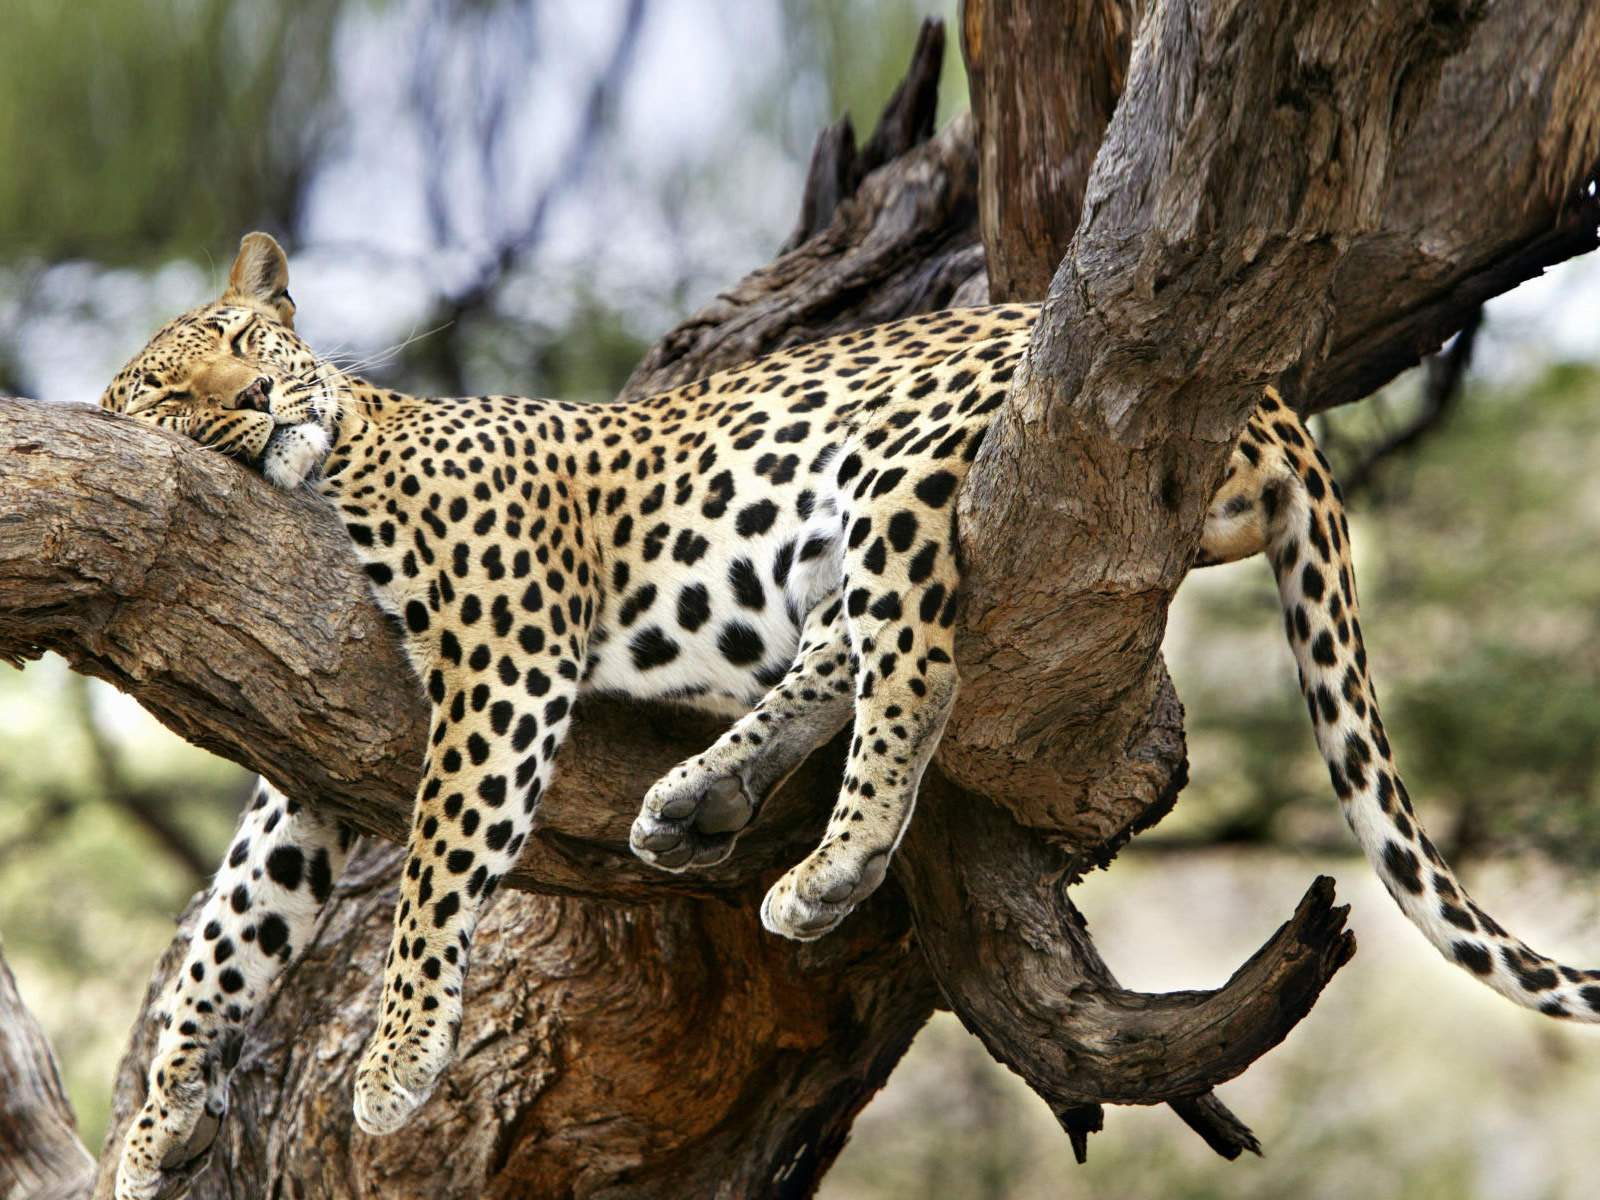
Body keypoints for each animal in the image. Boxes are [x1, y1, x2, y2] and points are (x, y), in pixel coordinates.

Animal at [100, 232, 1600, 1199]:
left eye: (246, 343)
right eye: (174, 388)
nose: (257, 397)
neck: (332, 467)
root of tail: (1281, 400)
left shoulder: (503, 657)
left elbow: (430, 874)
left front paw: (398, 1062)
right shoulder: (306, 755)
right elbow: (233, 927)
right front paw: (156, 1121)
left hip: (900, 465)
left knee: (917, 667)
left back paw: (831, 866)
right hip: (835, 539)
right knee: (847, 647)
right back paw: (699, 798)